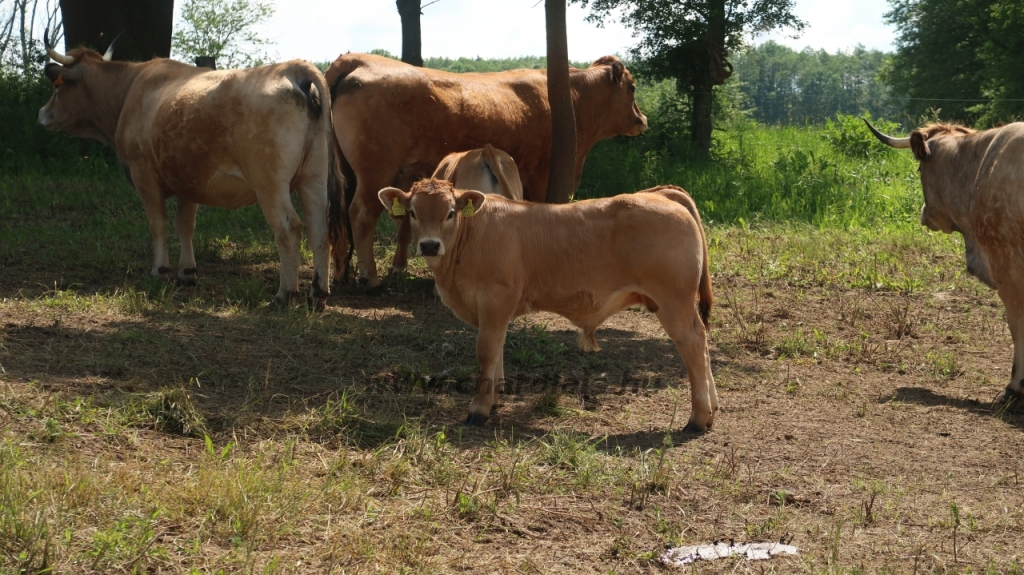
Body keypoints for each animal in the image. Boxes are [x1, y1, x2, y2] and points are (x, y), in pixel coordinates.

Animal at [38, 30, 348, 308]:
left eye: (57, 86)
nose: (42, 113)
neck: (131, 89)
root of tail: (291, 68)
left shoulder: (143, 174)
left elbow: (158, 223)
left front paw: (159, 270)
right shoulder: (188, 180)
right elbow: (185, 225)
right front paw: (187, 272)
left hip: (270, 185)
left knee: (289, 229)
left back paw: (284, 294)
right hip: (313, 180)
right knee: (319, 230)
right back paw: (317, 294)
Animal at [325, 53, 647, 286]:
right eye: (632, 87)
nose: (642, 119)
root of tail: (357, 58)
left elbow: (404, 224)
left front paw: (399, 267)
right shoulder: (540, 172)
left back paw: (342, 271)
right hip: (374, 171)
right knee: (360, 214)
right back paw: (369, 276)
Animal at [378, 179, 720, 429]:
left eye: (450, 211)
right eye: (412, 211)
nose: (429, 245)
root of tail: (661, 194)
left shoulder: (495, 299)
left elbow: (486, 350)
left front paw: (479, 409)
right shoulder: (495, 310)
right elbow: (497, 348)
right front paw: (496, 397)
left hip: (674, 302)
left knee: (693, 345)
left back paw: (698, 417)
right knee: (703, 343)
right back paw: (712, 406)